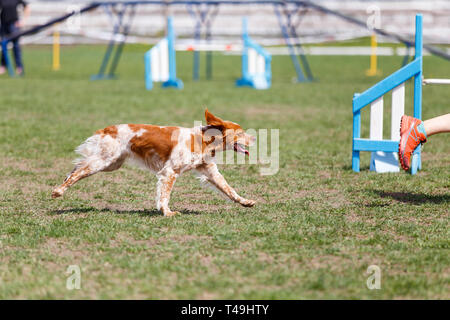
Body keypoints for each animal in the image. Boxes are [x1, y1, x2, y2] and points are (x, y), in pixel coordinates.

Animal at [51, 109, 255, 216]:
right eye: (241, 132)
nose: (254, 138)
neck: (201, 140)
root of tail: (107, 129)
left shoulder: (210, 171)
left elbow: (229, 189)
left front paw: (245, 202)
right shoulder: (169, 172)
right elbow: (165, 196)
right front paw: (168, 212)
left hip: (111, 164)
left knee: (77, 167)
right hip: (103, 161)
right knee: (78, 172)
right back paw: (58, 191)